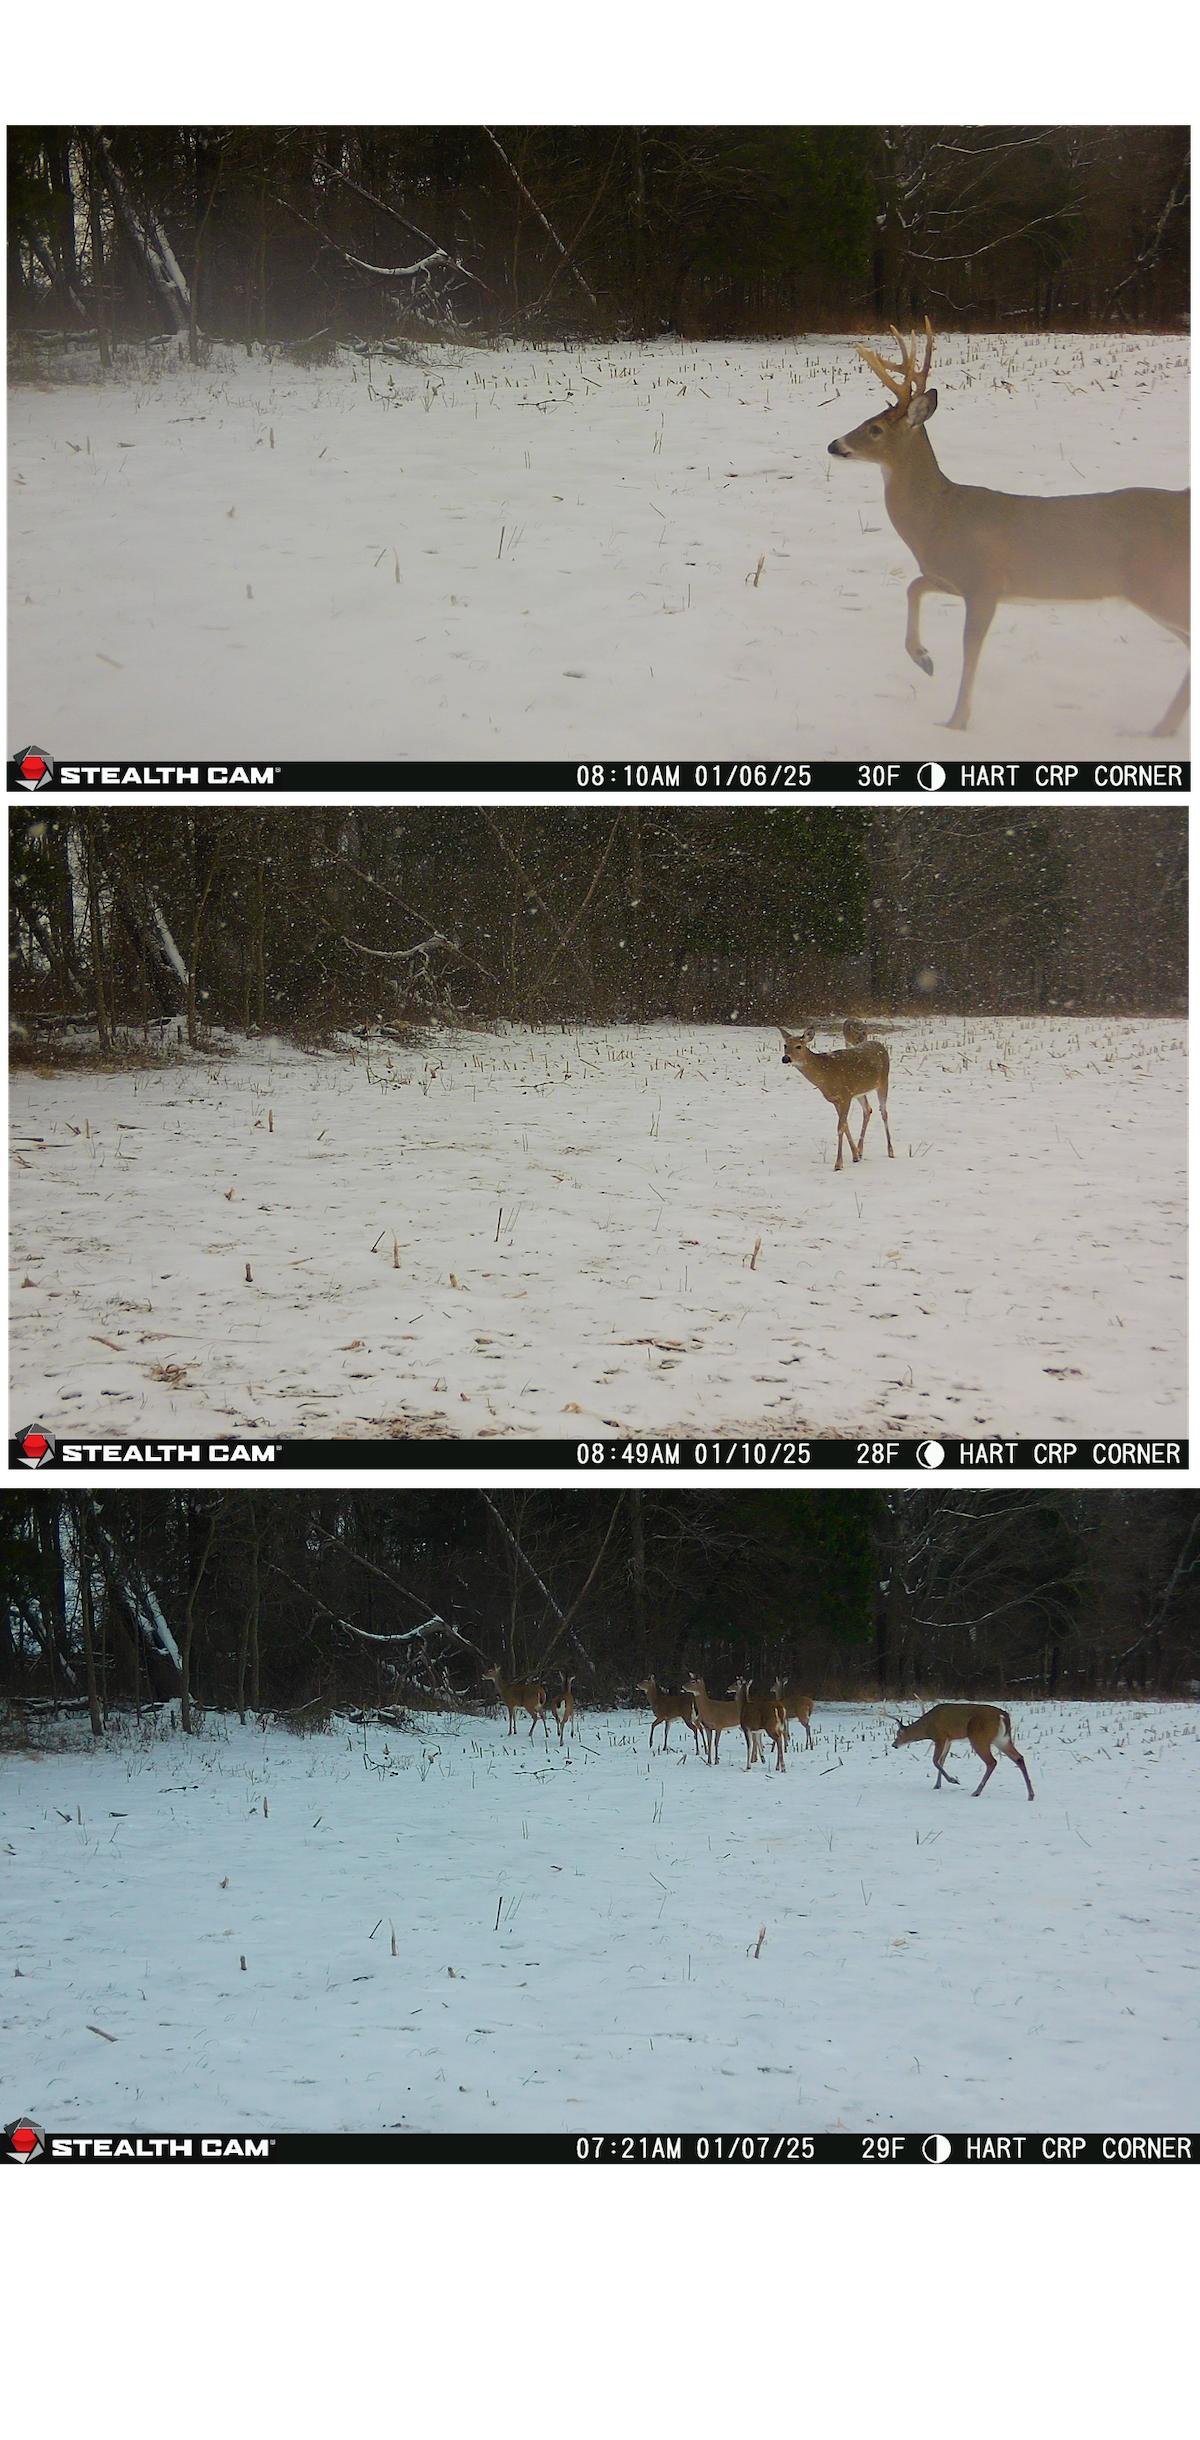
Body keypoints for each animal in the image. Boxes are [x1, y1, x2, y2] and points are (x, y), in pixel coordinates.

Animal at [779, 1023, 894, 1171]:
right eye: (785, 1045)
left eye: (799, 1046)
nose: (785, 1058)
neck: (825, 1074)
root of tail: (880, 1045)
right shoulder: (836, 1099)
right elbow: (845, 1125)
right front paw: (855, 1155)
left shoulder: (846, 1094)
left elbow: (840, 1127)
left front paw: (838, 1164)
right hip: (860, 1091)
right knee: (868, 1110)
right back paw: (860, 1150)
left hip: (883, 1081)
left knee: (884, 1112)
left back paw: (890, 1151)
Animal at [828, 320, 1190, 736]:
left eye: (874, 429)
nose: (833, 445)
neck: (939, 518)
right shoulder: (953, 578)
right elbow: (914, 586)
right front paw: (924, 659)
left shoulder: (984, 583)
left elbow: (970, 649)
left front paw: (956, 721)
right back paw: (1162, 728)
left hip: (1160, 585)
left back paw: (1162, 729)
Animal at [891, 1704, 1035, 1800]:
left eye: (898, 1734)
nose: (893, 1745)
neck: (927, 1726)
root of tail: (1003, 1716)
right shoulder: (949, 1739)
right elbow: (942, 1760)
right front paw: (937, 1785)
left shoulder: (940, 1736)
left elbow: (935, 1760)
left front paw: (953, 1780)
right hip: (1002, 1739)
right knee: (1019, 1758)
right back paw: (1031, 1795)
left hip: (979, 1738)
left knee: (992, 1762)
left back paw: (976, 1792)